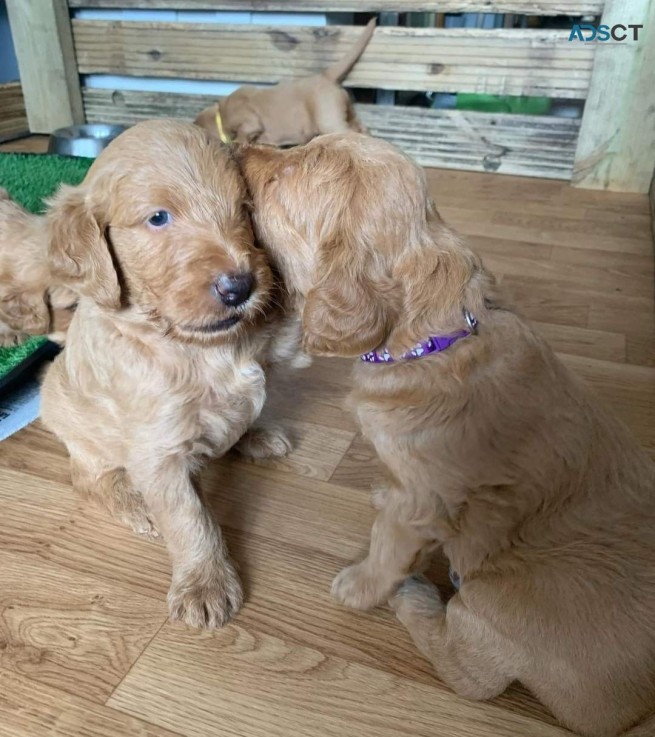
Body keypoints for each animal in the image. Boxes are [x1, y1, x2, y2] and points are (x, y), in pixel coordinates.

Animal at [42, 119, 296, 628]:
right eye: (158, 218)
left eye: (243, 209)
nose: (241, 286)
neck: (195, 346)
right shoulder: (157, 451)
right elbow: (188, 518)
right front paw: (205, 584)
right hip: (71, 420)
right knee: (89, 479)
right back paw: (134, 505)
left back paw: (254, 437)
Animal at [195, 17, 376, 147]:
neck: (220, 114)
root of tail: (325, 75)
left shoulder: (249, 122)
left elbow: (242, 136)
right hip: (346, 112)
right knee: (361, 128)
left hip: (329, 120)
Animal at [238, 134, 655, 736]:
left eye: (283, 177)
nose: (241, 146)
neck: (435, 337)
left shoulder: (423, 502)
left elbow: (388, 548)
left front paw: (361, 586)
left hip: (495, 601)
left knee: (468, 674)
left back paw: (415, 598)